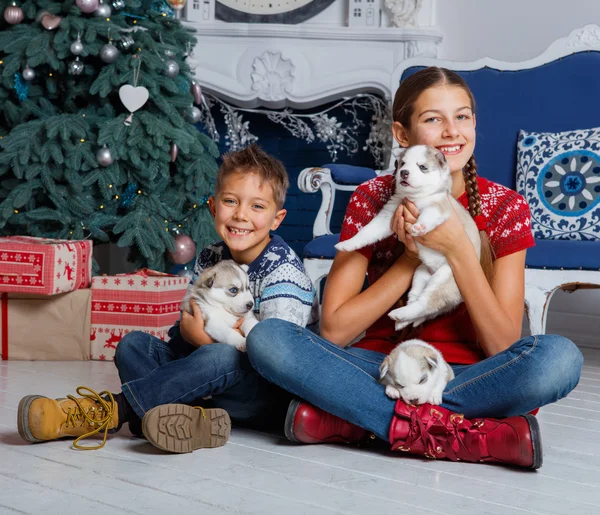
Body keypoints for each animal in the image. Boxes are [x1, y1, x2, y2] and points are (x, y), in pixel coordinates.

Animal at [336, 145, 480, 330]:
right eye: (403, 164)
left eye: (422, 167)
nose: (404, 172)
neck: (415, 197)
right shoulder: (388, 215)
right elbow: (367, 231)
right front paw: (348, 244)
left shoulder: (439, 207)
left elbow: (428, 215)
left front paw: (419, 226)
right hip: (420, 274)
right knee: (417, 300)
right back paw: (402, 320)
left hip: (445, 277)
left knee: (427, 303)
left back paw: (399, 314)